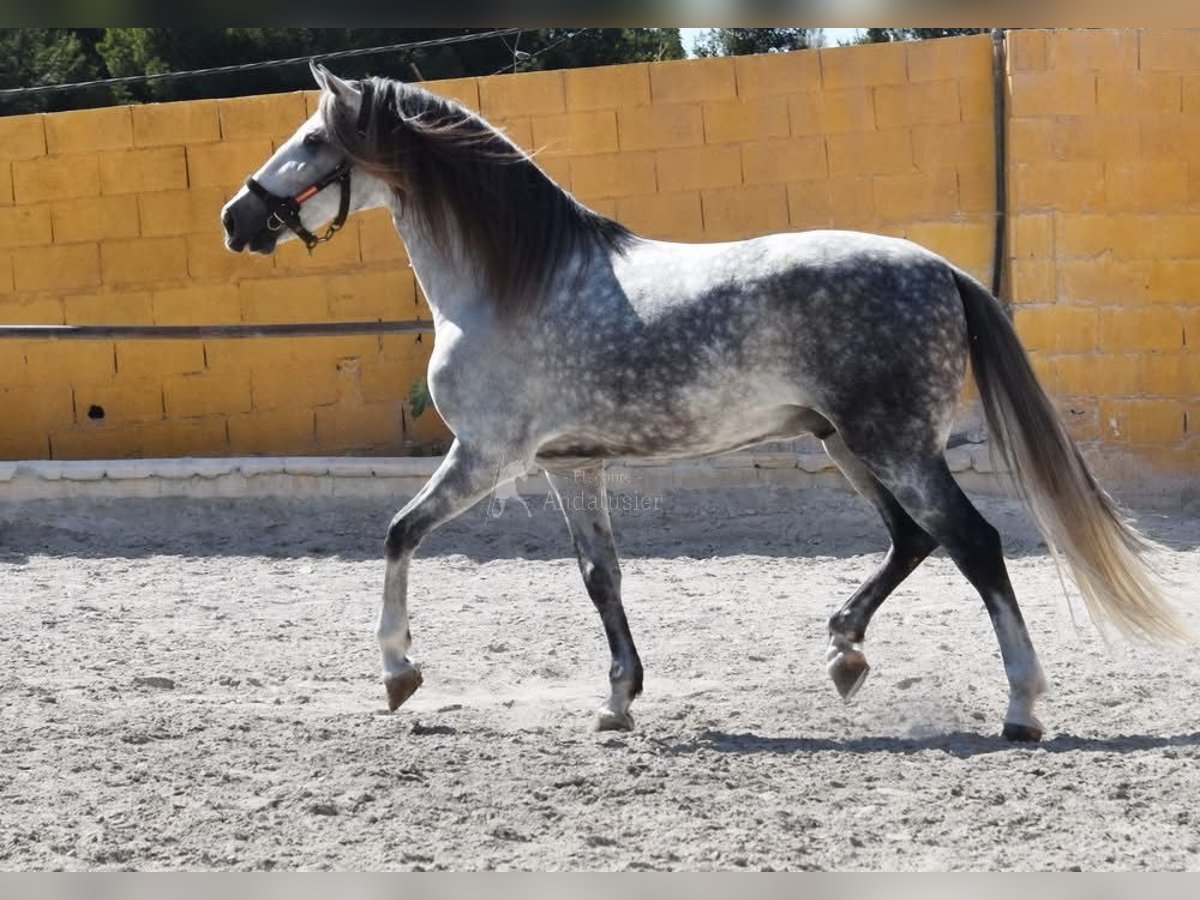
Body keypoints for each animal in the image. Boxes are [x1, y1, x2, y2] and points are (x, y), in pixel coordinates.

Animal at [220, 63, 1185, 742]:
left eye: (312, 142)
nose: (236, 219)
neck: (513, 281)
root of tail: (940, 269)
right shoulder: (572, 466)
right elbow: (600, 577)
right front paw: (618, 702)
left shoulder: (488, 457)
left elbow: (397, 534)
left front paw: (398, 672)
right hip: (848, 444)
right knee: (913, 539)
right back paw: (844, 651)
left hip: (895, 447)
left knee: (973, 543)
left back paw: (1020, 707)